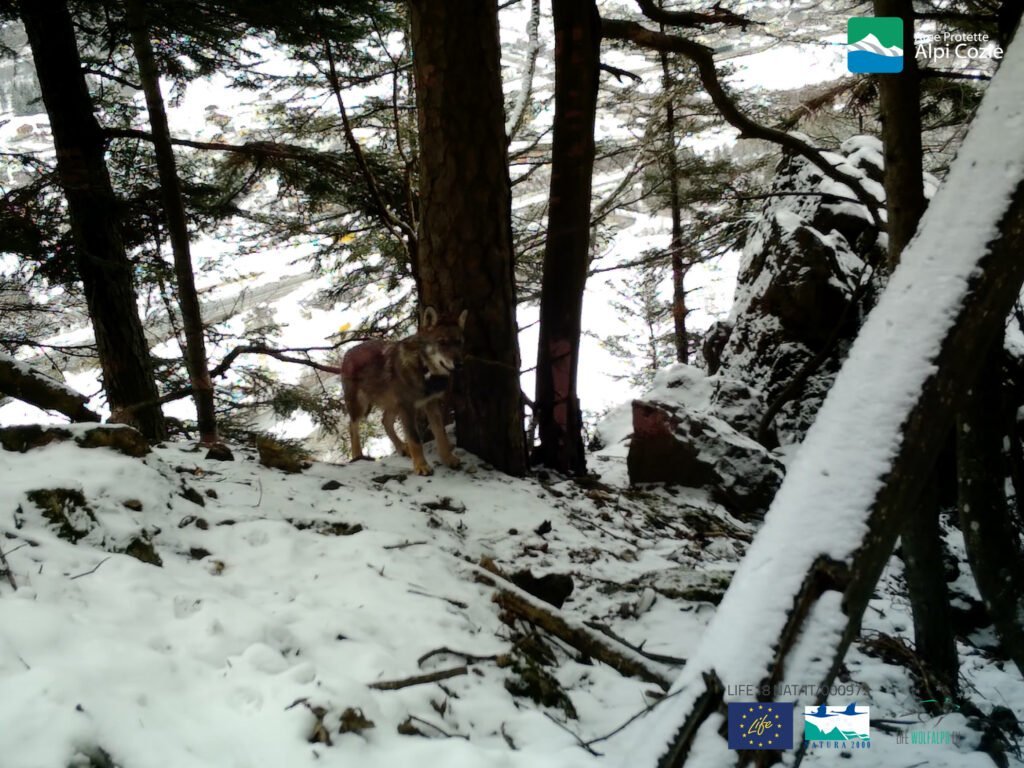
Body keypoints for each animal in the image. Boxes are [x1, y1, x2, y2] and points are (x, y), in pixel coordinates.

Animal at [339, 307, 468, 475]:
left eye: (459, 342)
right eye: (442, 342)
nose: (459, 364)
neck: (423, 368)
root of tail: (348, 352)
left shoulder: (431, 404)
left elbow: (441, 435)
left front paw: (448, 459)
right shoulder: (407, 409)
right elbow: (415, 440)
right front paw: (421, 466)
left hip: (393, 405)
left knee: (385, 421)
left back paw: (402, 448)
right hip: (361, 407)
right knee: (352, 427)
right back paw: (358, 456)